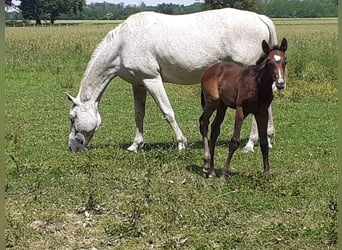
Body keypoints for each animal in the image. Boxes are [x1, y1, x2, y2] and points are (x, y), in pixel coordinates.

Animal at [66, 7, 280, 152]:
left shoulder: (152, 79)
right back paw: (268, 138)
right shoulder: (138, 84)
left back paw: (250, 144)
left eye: (72, 117)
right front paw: (135, 145)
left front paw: (181, 143)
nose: (72, 146)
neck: (123, 44)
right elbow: (139, 114)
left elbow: (167, 112)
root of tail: (259, 18)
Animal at [199, 37, 288, 179]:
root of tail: (208, 70)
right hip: (212, 102)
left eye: (285, 61)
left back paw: (212, 170)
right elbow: (234, 141)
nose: (280, 84)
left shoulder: (262, 112)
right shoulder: (241, 110)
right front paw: (224, 174)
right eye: (269, 62)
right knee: (203, 122)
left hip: (222, 106)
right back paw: (207, 166)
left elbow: (264, 142)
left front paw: (267, 172)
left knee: (215, 129)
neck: (258, 85)